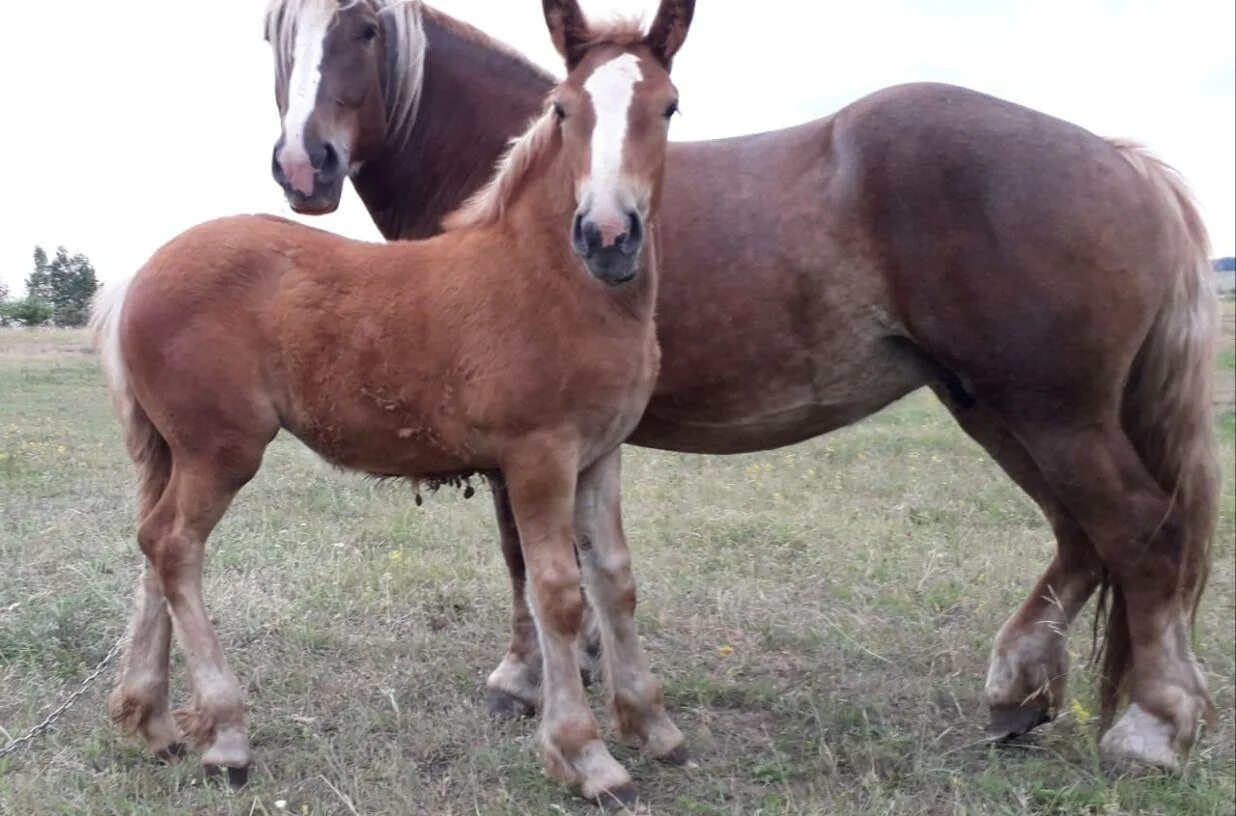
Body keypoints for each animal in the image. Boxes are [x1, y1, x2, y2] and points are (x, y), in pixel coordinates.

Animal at [93, 0, 697, 801]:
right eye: (564, 109)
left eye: (668, 106)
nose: (607, 235)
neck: (552, 281)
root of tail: (143, 269)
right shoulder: (538, 456)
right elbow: (558, 593)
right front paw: (587, 755)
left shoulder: (601, 456)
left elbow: (616, 583)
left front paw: (653, 726)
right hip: (219, 451)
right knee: (173, 547)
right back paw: (225, 736)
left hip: (172, 450)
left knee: (149, 549)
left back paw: (155, 722)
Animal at [263, 0, 1216, 766]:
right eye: (277, 32)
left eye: (366, 30)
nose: (305, 166)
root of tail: (1123, 162)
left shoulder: (525, 441)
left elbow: (523, 562)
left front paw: (526, 680)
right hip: (1000, 409)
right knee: (1085, 536)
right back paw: (1020, 690)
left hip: (1055, 415)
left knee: (1140, 531)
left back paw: (1153, 728)